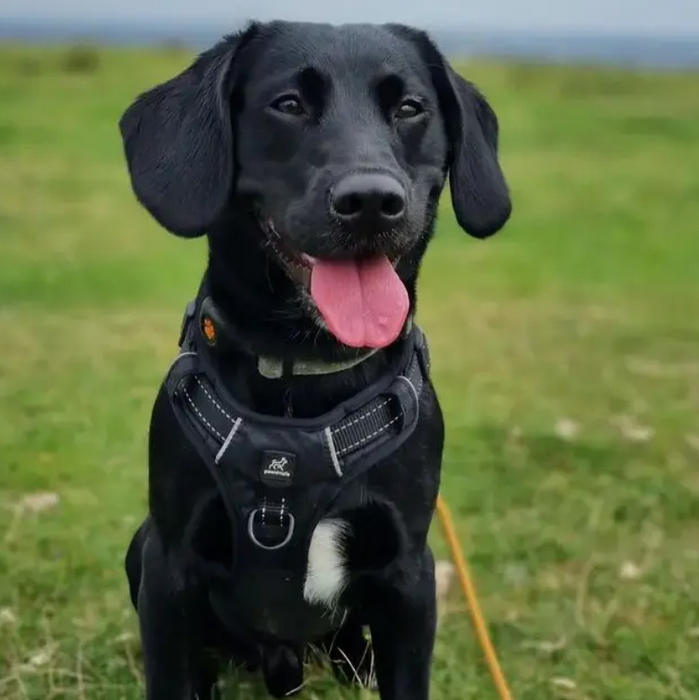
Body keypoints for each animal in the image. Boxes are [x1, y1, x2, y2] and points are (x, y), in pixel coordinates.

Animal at [119, 19, 511, 700]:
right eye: (289, 105)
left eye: (411, 108)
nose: (372, 200)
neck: (299, 383)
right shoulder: (168, 565)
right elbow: (170, 675)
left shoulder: (410, 575)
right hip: (139, 549)